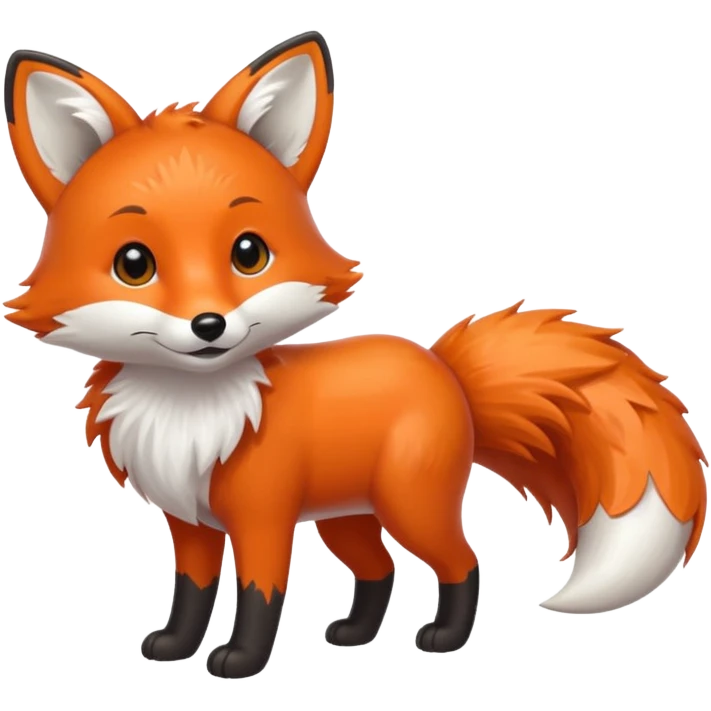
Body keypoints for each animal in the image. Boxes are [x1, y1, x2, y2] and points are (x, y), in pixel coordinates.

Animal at [2, 33, 708, 680]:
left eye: (249, 253)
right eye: (134, 264)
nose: (209, 325)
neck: (194, 409)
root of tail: (446, 369)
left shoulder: (262, 517)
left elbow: (259, 594)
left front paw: (240, 661)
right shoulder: (192, 522)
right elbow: (192, 592)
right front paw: (176, 646)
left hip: (409, 504)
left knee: (463, 562)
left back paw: (444, 638)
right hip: (347, 519)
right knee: (381, 569)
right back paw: (354, 634)